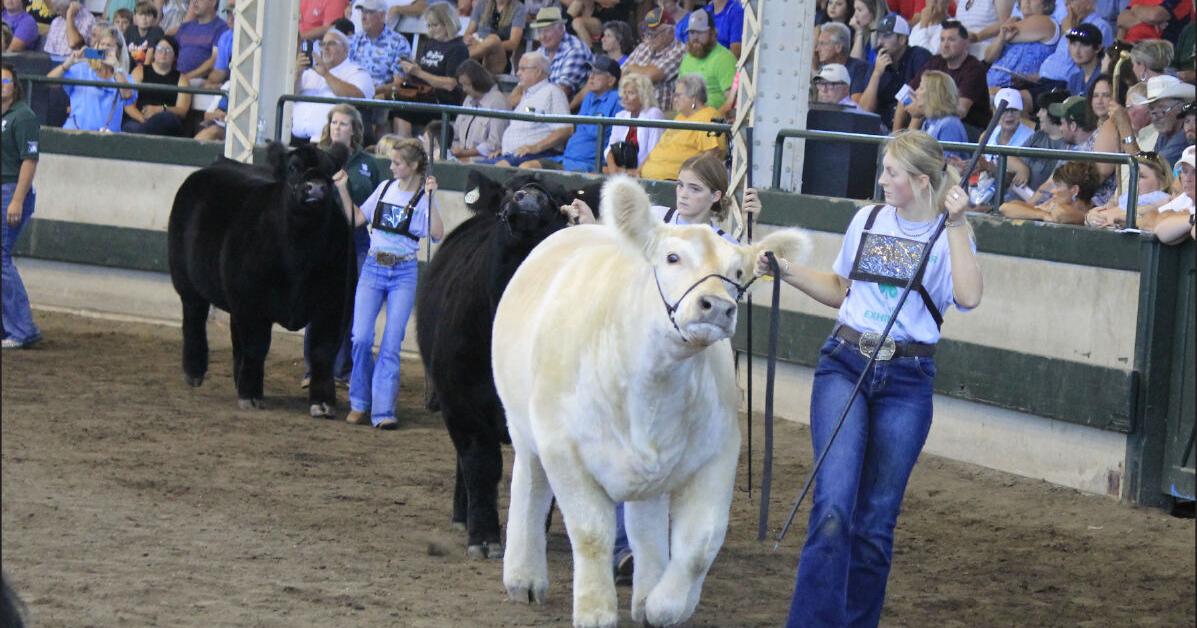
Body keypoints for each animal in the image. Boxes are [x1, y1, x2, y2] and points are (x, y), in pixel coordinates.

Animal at [168, 142, 355, 417]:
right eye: (293, 167)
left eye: (330, 171)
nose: (316, 187)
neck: (300, 251)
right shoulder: (252, 303)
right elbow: (256, 347)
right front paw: (251, 394)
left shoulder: (334, 305)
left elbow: (322, 352)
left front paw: (323, 402)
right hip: (186, 280)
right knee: (194, 318)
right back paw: (194, 371)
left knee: (235, 335)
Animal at [416, 171, 598, 560]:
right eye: (508, 191)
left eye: (558, 197)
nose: (527, 198)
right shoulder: (461, 402)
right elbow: (481, 464)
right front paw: (484, 537)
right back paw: (462, 516)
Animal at [492, 176, 810, 627]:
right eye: (672, 257)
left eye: (738, 273)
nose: (717, 306)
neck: (653, 387)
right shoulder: (564, 451)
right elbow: (591, 533)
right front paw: (595, 611)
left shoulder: (718, 455)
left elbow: (700, 543)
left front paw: (666, 605)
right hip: (523, 424)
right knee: (530, 484)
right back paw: (524, 577)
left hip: (650, 477)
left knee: (645, 527)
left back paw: (644, 595)